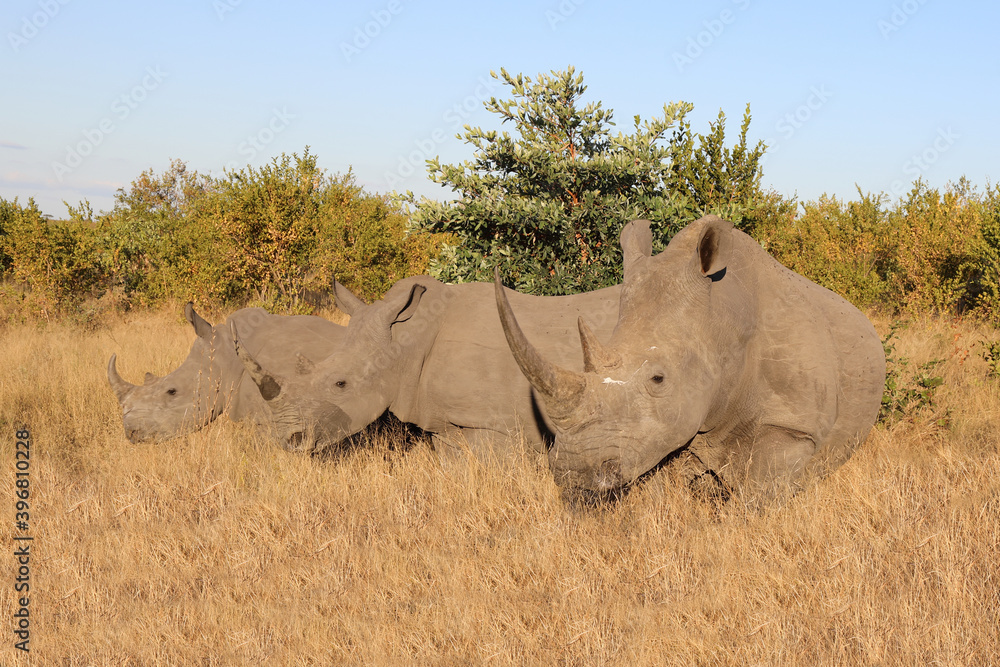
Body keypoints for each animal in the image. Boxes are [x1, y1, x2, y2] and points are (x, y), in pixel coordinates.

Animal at [494, 216, 886, 501]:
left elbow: (761, 493)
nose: (574, 472)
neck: (722, 323)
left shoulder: (793, 425)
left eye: (658, 379)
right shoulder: (662, 433)